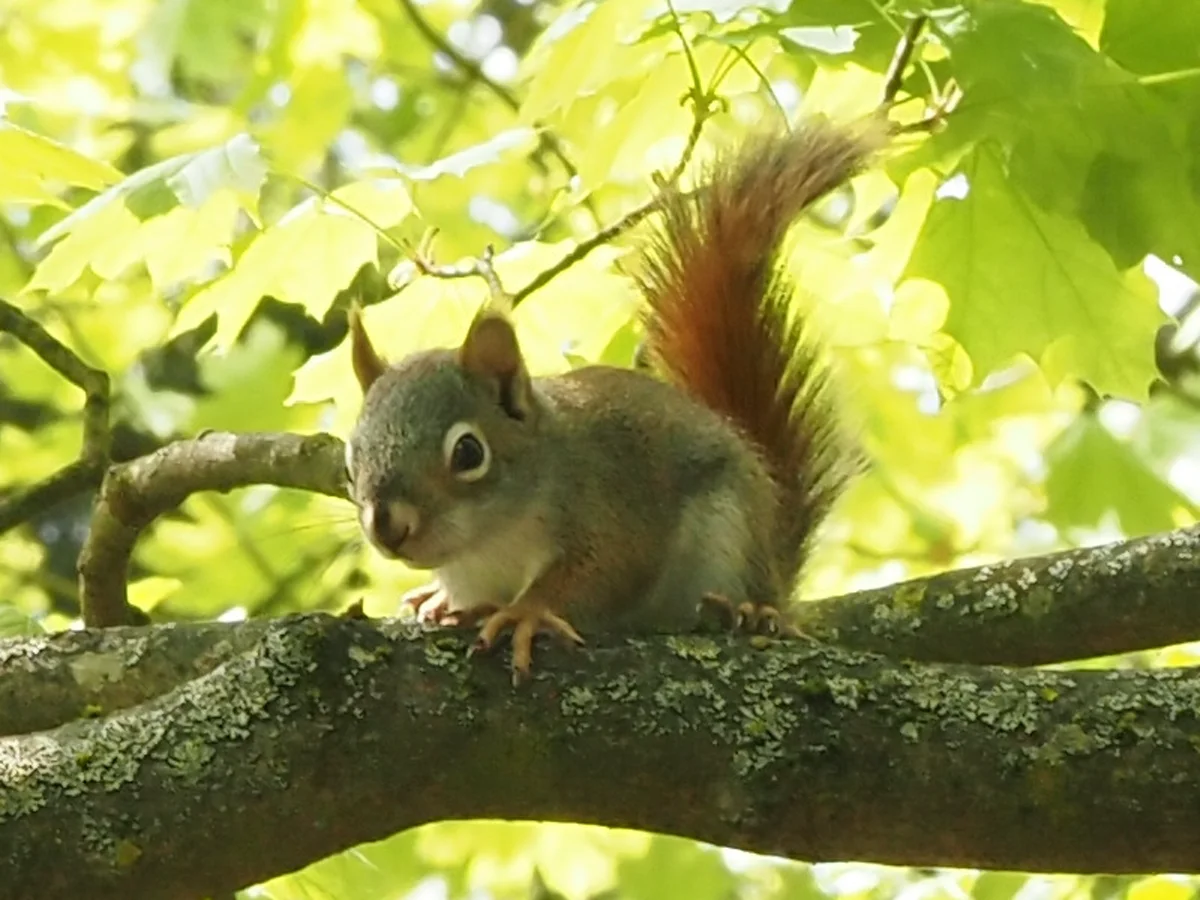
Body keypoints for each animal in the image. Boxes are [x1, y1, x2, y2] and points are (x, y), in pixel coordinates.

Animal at [344, 120, 876, 683]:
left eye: (469, 453)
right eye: (350, 464)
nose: (387, 526)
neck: (488, 546)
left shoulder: (609, 506)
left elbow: (604, 571)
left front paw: (527, 613)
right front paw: (443, 600)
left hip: (733, 533)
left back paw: (753, 612)